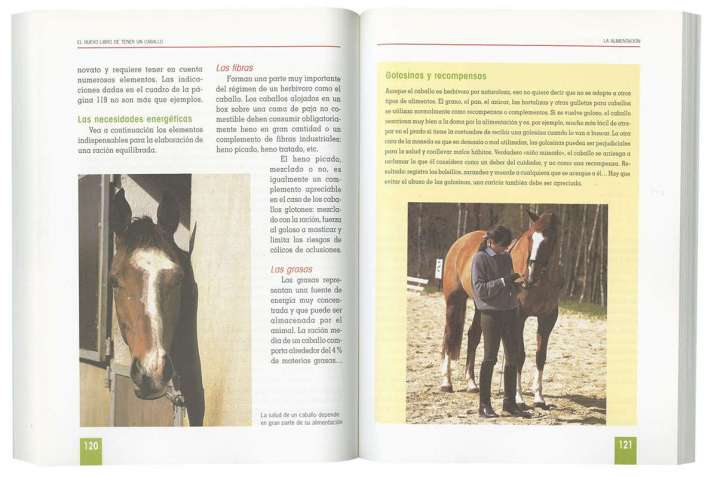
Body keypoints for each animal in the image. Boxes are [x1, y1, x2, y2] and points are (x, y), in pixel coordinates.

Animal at [439, 210, 563, 409]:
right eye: (530, 237)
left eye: (550, 240)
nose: (530, 275)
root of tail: (460, 242)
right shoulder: (518, 318)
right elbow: (519, 355)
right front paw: (519, 398)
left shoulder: (548, 319)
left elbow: (540, 356)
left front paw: (539, 397)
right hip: (453, 301)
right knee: (449, 336)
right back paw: (446, 382)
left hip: (480, 306)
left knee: (473, 336)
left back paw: (471, 383)